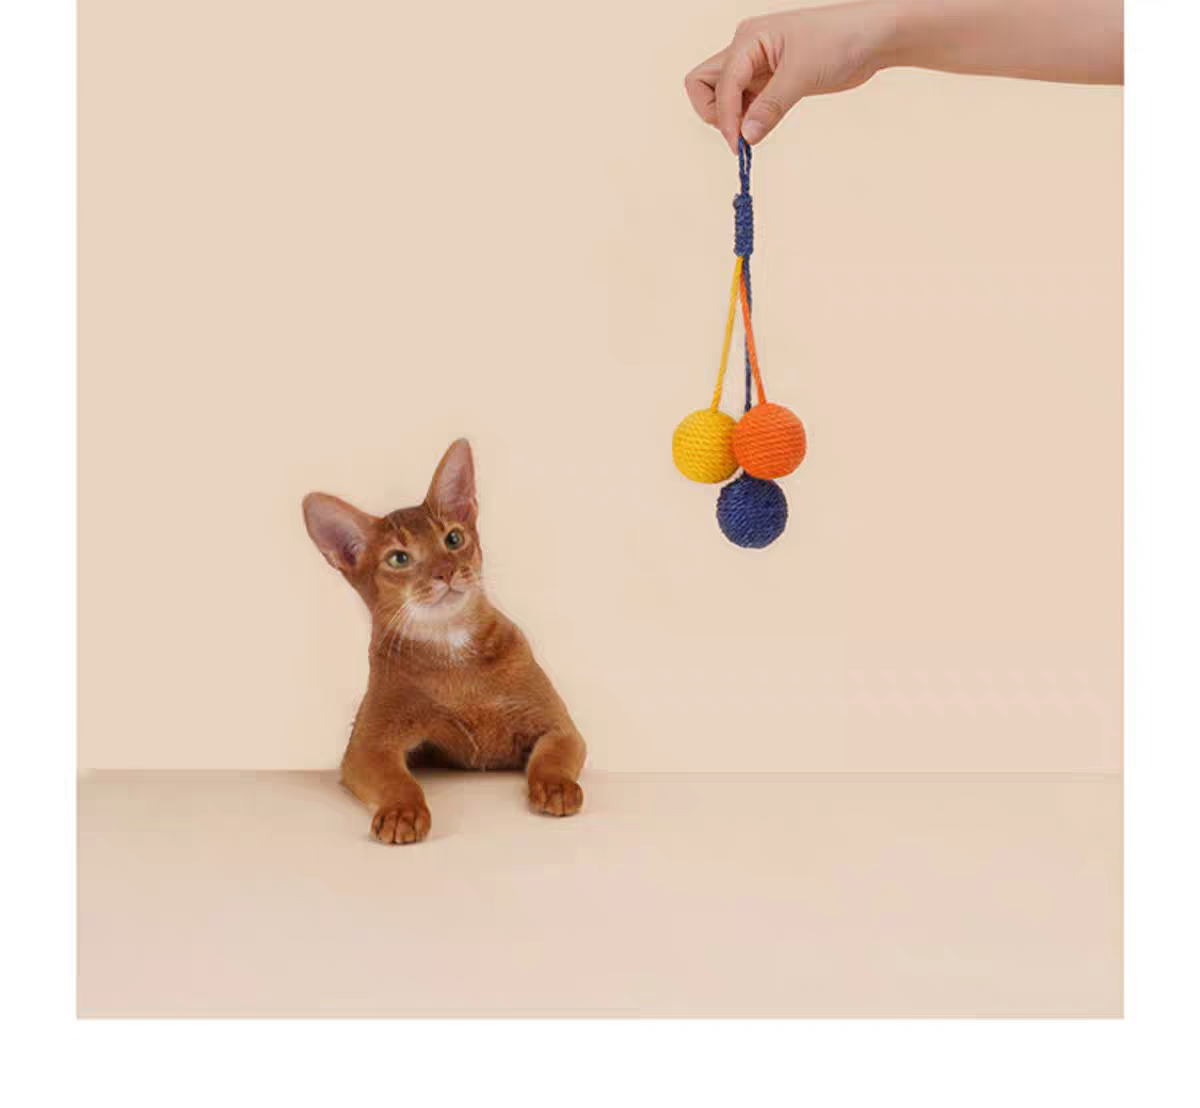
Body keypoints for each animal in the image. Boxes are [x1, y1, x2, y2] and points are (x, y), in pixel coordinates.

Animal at [302, 439, 586, 844]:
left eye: (453, 538)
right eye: (399, 558)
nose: (447, 572)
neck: (453, 653)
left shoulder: (559, 725)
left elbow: (552, 756)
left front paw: (557, 786)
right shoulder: (367, 747)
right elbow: (397, 780)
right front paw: (402, 811)